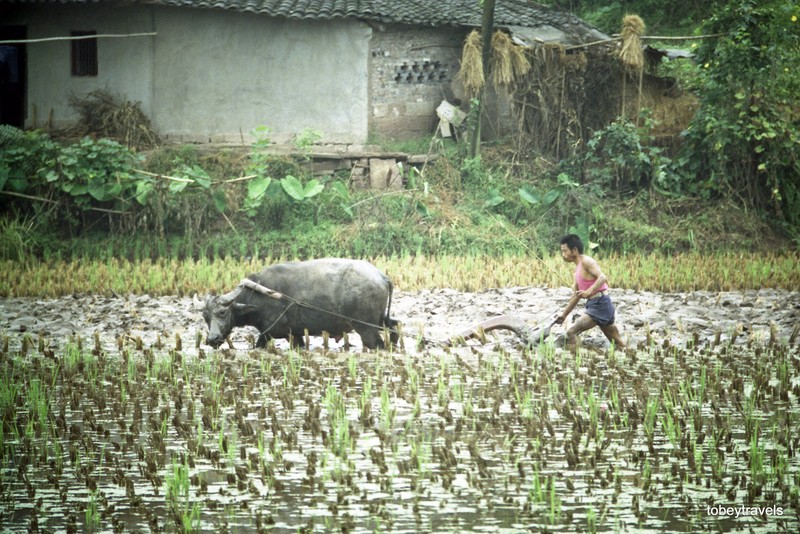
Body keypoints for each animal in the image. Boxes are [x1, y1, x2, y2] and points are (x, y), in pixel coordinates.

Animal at [202, 260, 398, 352]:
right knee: (394, 327)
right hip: (380, 319)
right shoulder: (295, 335)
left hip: (366, 328)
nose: (212, 339)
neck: (258, 295)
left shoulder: (269, 333)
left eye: (222, 312)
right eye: (205, 317)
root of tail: (381, 276)